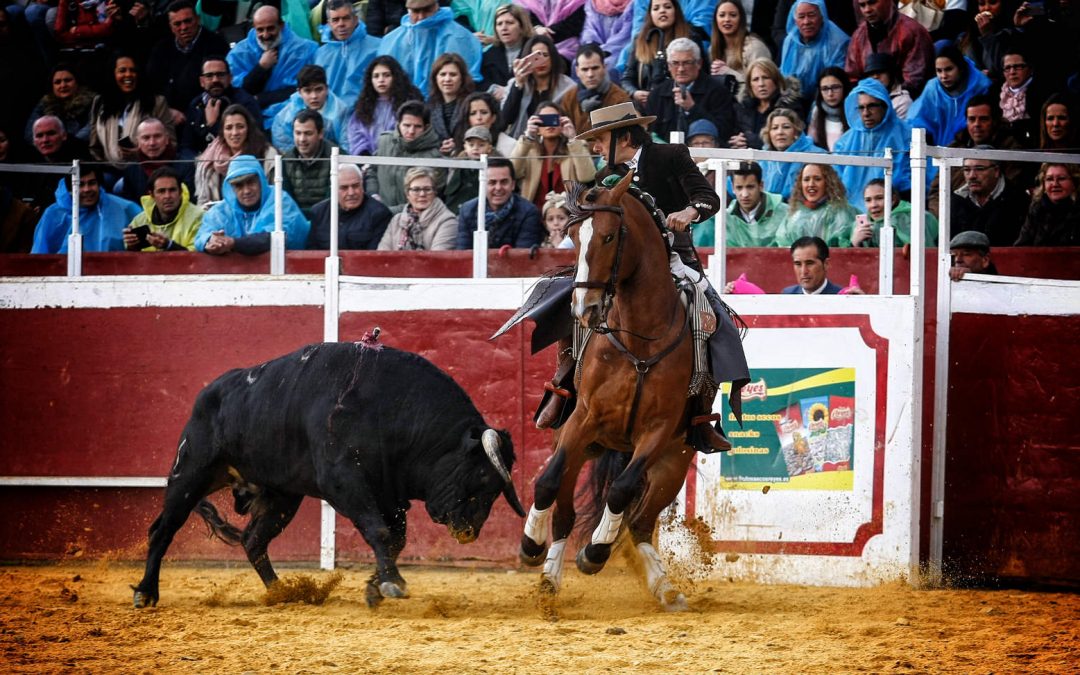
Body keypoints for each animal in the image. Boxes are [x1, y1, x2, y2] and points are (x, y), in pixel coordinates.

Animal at [128, 339, 524, 609]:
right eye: (482, 478)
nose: (468, 533)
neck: (393, 410)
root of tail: (209, 392)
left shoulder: (388, 495)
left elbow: (395, 539)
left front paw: (375, 586)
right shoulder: (344, 483)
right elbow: (380, 532)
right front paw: (392, 584)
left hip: (282, 495)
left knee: (253, 540)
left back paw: (281, 592)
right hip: (190, 473)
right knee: (163, 530)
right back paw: (146, 593)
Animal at [518, 169, 695, 609]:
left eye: (610, 236)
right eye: (572, 235)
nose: (584, 308)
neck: (639, 341)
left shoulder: (659, 430)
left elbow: (621, 490)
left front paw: (595, 552)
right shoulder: (583, 418)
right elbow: (547, 481)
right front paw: (531, 545)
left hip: (673, 463)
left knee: (641, 522)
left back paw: (664, 587)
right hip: (578, 439)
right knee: (564, 509)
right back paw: (548, 576)